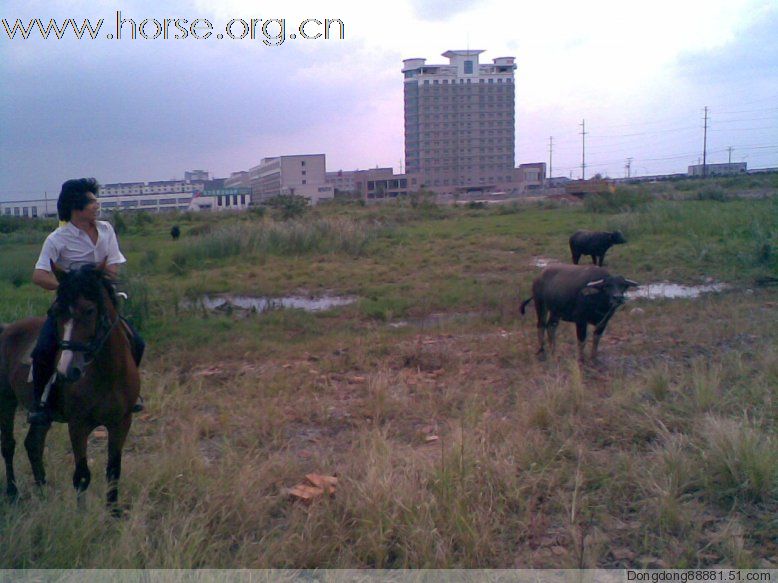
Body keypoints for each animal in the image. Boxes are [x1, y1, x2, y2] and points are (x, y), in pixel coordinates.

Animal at [0, 262, 138, 512]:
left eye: (90, 311)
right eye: (56, 312)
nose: (66, 370)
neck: (108, 373)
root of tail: (6, 330)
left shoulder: (121, 422)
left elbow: (114, 470)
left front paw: (113, 511)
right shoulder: (78, 425)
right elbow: (82, 474)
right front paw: (81, 514)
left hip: (41, 415)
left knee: (33, 444)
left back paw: (43, 492)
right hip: (6, 400)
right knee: (8, 445)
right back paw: (13, 493)